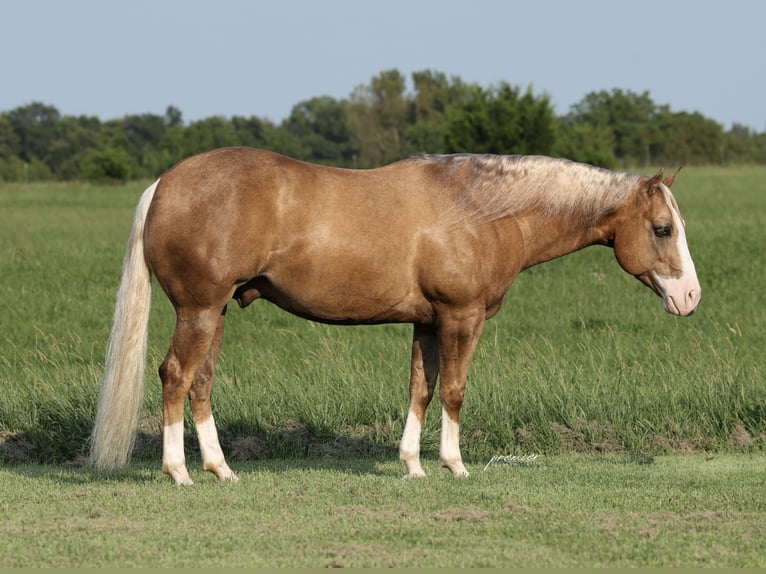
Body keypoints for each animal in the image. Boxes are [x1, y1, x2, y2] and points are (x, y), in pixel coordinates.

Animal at [88, 147, 701, 485]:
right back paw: (179, 473)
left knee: (201, 383)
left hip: (214, 313)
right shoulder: (461, 317)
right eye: (662, 229)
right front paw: (455, 465)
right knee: (175, 376)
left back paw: (220, 469)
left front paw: (412, 464)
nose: (691, 297)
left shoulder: (427, 322)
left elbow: (420, 389)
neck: (481, 212)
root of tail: (165, 183)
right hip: (198, 310)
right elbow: (453, 390)